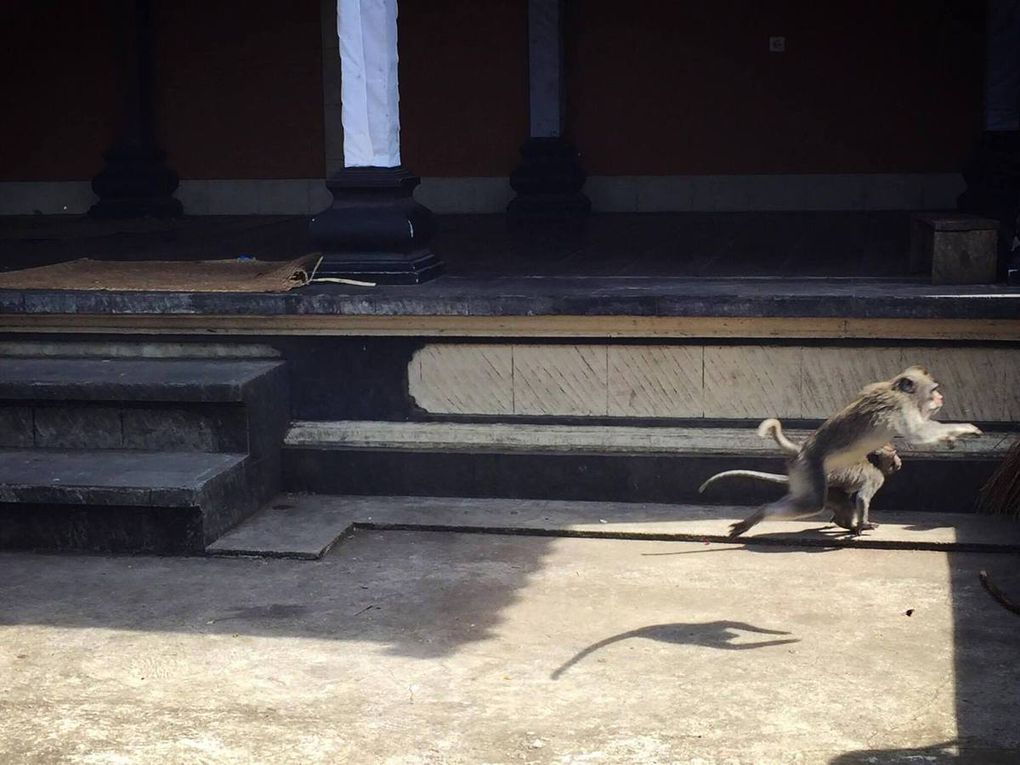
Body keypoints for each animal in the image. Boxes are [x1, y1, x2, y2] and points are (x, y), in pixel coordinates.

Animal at [701, 416, 901, 534]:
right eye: (894, 453)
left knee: (836, 500)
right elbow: (862, 498)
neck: (872, 461)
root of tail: (802, 456)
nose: (900, 462)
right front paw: (863, 525)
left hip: (807, 486)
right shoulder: (877, 477)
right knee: (815, 504)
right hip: (812, 483)